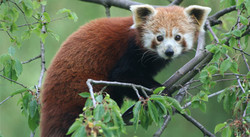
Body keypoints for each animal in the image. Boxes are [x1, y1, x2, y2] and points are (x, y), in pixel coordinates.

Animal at [40, 4, 211, 137]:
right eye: (159, 37)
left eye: (177, 37)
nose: (169, 51)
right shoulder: (130, 52)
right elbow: (122, 76)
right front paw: (159, 90)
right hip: (77, 92)